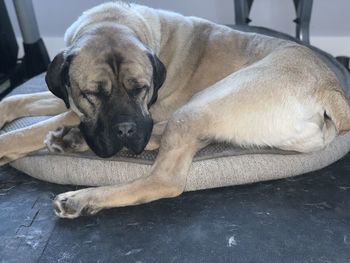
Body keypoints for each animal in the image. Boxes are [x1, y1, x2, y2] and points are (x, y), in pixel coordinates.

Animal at [0, 2, 350, 219]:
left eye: (141, 89)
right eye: (92, 94)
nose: (125, 130)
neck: (114, 20)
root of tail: (330, 89)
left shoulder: (81, 109)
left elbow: (28, 131)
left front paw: (7, 145)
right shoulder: (67, 99)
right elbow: (15, 101)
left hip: (201, 105)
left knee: (164, 179)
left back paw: (80, 199)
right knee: (161, 138)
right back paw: (71, 140)